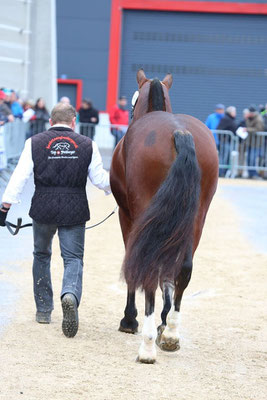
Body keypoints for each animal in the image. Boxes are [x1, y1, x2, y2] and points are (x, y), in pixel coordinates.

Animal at [110, 69, 219, 366]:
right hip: (197, 217)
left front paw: (130, 320)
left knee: (148, 267)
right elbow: (168, 273)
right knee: (184, 267)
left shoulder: (128, 217)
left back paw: (147, 347)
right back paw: (171, 334)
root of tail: (179, 132)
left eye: (133, 101)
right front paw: (163, 320)